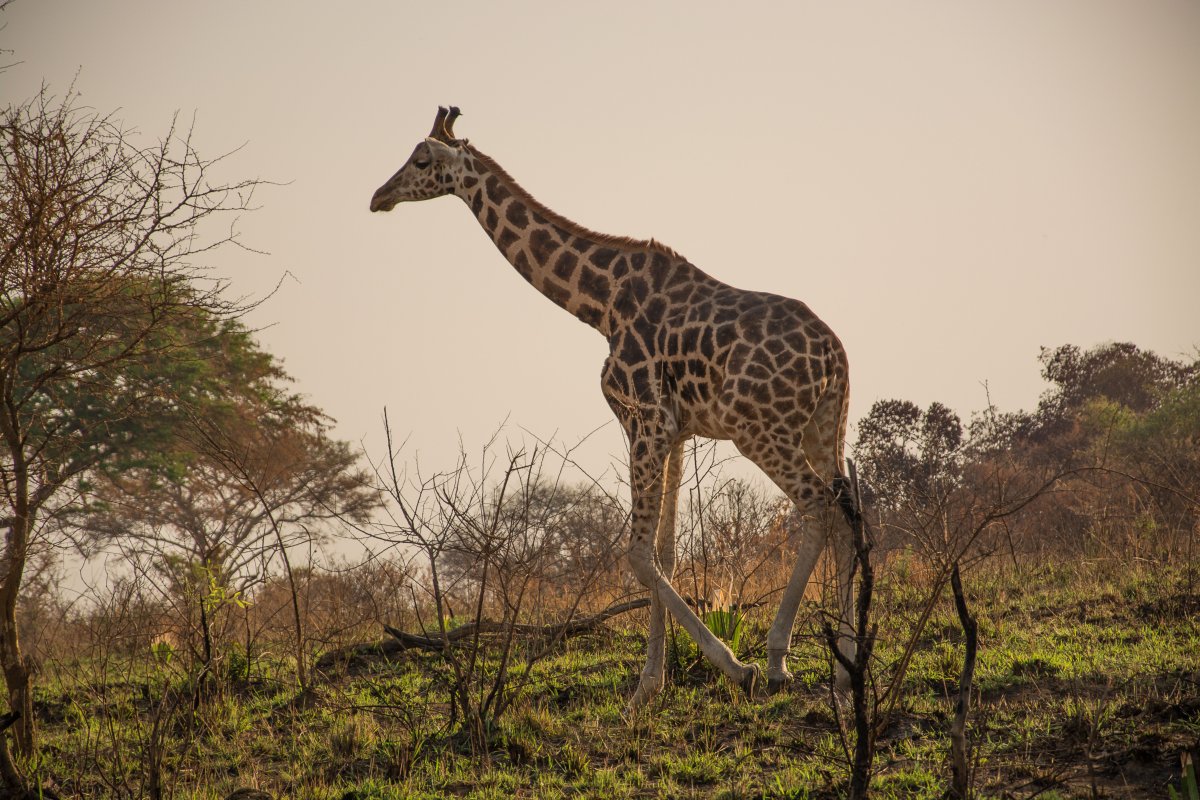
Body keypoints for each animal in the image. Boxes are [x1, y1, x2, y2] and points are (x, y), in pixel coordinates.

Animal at [369, 106, 859, 705]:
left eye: (421, 160)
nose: (379, 197)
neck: (599, 304)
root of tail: (836, 355)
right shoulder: (675, 429)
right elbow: (666, 554)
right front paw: (651, 682)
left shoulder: (643, 418)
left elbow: (638, 556)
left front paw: (727, 666)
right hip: (824, 426)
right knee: (847, 508)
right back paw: (844, 668)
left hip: (760, 430)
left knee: (817, 505)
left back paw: (774, 661)